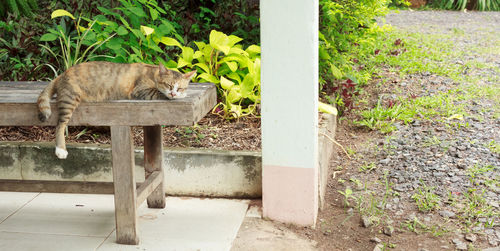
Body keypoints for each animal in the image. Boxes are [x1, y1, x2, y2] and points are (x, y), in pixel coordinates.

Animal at [37, 61, 195, 159]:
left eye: (180, 87)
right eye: (169, 85)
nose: (174, 93)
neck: (153, 73)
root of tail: (62, 74)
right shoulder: (140, 91)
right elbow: (159, 93)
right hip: (70, 99)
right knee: (60, 124)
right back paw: (61, 150)